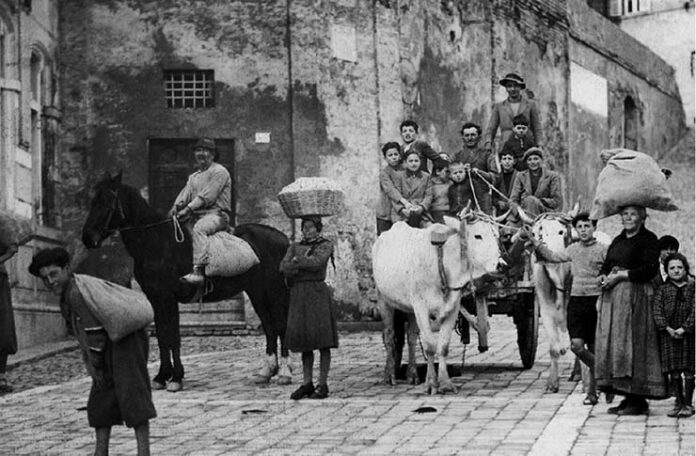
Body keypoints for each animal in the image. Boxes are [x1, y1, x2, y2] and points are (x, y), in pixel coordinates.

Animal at [81, 172, 291, 392]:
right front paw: (161, 377)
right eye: (94, 200)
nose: (87, 237)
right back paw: (266, 372)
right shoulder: (156, 299)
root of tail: (284, 240)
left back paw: (284, 374)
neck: (156, 242)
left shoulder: (167, 298)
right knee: (269, 327)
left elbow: (173, 336)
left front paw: (175, 378)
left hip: (275, 292)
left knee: (280, 326)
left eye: (108, 201)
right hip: (258, 292)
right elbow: (163, 336)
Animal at [372, 210, 503, 394]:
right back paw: (390, 375)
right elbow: (430, 346)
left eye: (497, 235)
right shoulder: (421, 307)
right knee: (390, 337)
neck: (443, 263)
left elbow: (443, 347)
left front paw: (445, 383)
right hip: (384, 300)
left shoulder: (452, 308)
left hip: (410, 309)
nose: (500, 265)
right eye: (478, 236)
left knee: (411, 337)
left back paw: (413, 374)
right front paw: (432, 383)